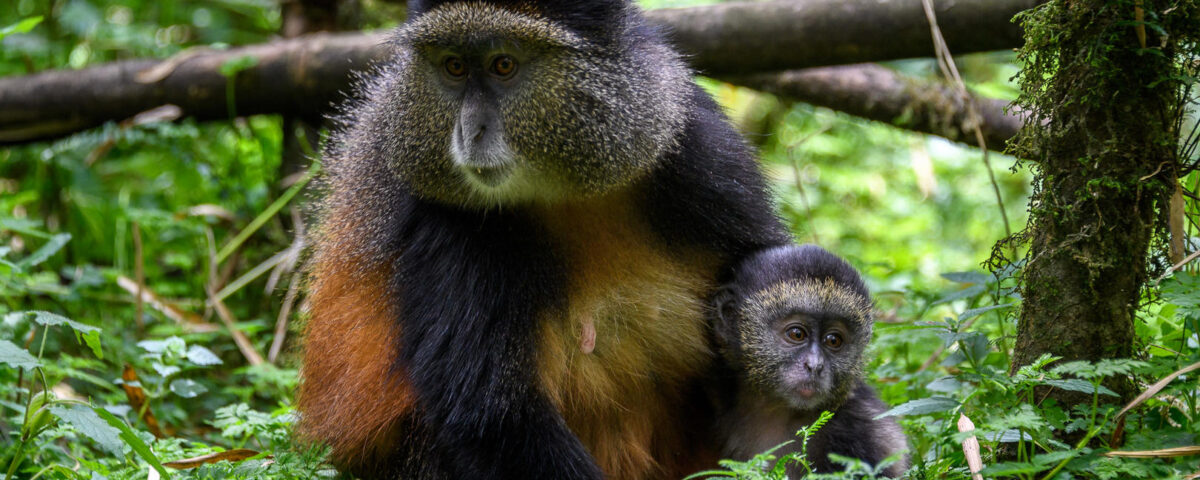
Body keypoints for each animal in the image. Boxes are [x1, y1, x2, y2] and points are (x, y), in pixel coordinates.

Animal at [296, 1, 791, 478]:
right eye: (454, 67)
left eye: (503, 65)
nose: (470, 131)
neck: (566, 187)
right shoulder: (448, 221)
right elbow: (490, 412)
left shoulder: (699, 149)